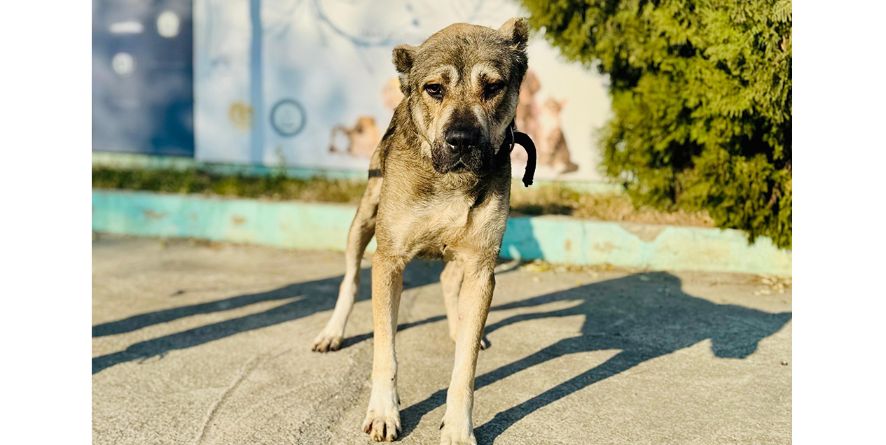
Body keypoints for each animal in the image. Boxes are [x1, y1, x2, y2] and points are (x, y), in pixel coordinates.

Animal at [311, 18, 530, 444]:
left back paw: (461, 328)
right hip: (362, 221)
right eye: (434, 89)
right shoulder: (389, 261)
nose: (461, 140)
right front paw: (383, 412)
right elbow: (385, 349)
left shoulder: (481, 266)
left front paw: (459, 426)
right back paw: (332, 331)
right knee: (350, 279)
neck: (450, 180)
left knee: (449, 282)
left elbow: (465, 367)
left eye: (492, 87)